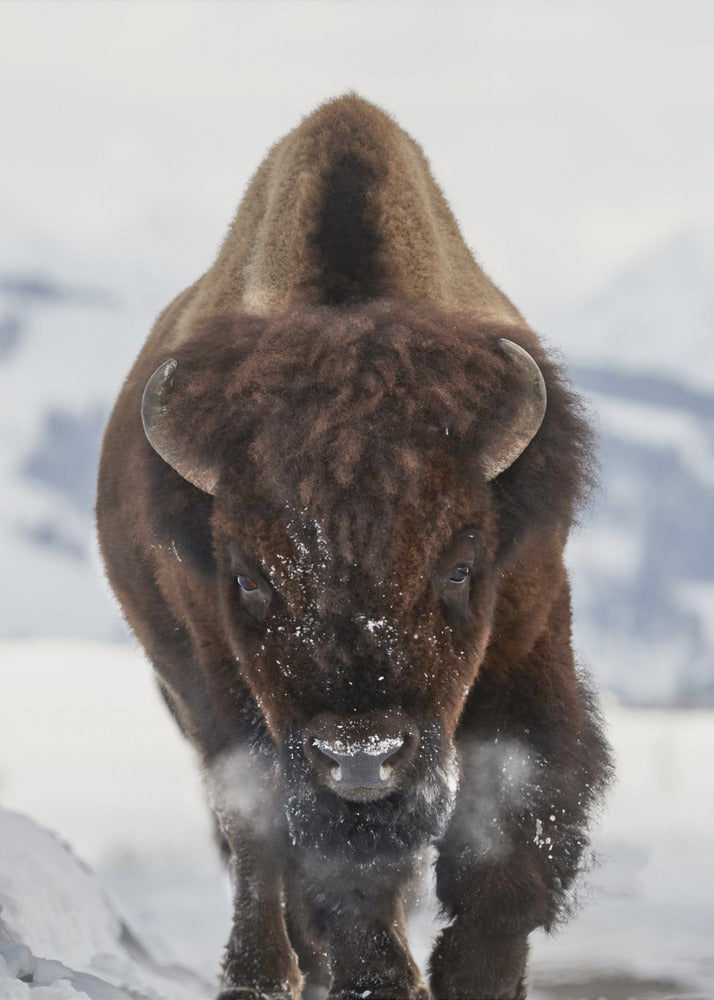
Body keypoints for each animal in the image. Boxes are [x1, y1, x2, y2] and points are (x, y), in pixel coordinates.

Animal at [97, 95, 612, 1000]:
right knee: (256, 845)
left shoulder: (530, 636)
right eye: (249, 580)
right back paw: (259, 976)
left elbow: (511, 845)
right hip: (199, 699)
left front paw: (474, 975)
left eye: (460, 566)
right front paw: (378, 977)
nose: (362, 760)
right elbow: (331, 872)